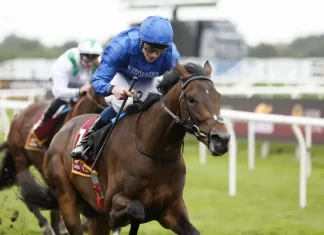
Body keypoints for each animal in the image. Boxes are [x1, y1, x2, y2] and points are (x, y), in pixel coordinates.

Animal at [19, 59, 230, 234]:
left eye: (219, 97)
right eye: (192, 99)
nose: (221, 139)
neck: (154, 150)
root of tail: (62, 131)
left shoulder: (172, 209)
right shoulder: (111, 203)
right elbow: (136, 210)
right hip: (66, 198)